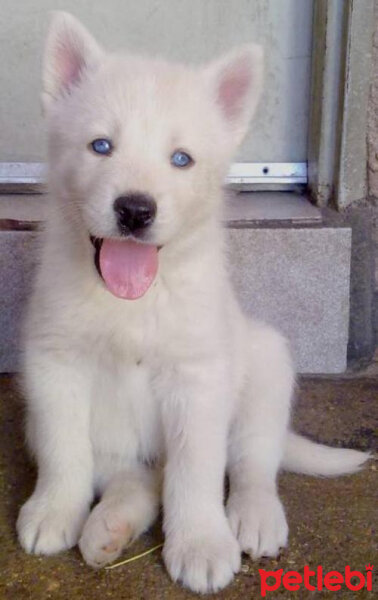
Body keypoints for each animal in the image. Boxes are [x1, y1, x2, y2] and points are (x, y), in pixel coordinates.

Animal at [17, 12, 370, 596]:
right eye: (100, 146)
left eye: (181, 159)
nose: (135, 210)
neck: (134, 300)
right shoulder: (54, 363)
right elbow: (63, 450)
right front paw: (53, 511)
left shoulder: (199, 378)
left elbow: (196, 471)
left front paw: (201, 543)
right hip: (99, 437)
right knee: (139, 479)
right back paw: (109, 526)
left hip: (266, 362)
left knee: (253, 459)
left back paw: (253, 516)